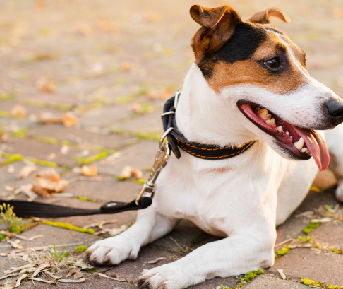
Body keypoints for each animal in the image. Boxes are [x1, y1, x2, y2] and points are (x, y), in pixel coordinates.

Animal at [85, 5, 343, 288]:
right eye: (273, 62)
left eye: (304, 62)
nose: (339, 108)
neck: (211, 156)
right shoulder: (161, 211)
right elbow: (141, 224)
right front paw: (114, 244)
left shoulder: (256, 239)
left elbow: (204, 251)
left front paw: (168, 272)